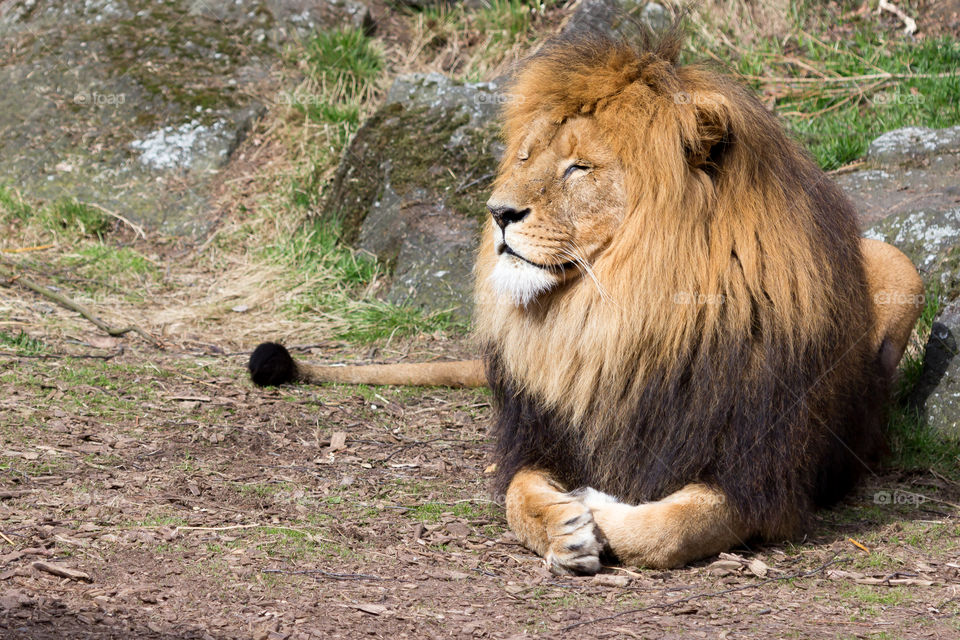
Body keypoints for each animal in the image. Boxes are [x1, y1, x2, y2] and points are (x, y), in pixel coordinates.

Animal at [249, 30, 924, 575]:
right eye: (527, 155)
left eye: (578, 167)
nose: (497, 213)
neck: (612, 319)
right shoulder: (538, 436)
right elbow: (517, 494)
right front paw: (562, 527)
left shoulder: (762, 477)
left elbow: (674, 526)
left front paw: (597, 505)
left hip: (901, 267)